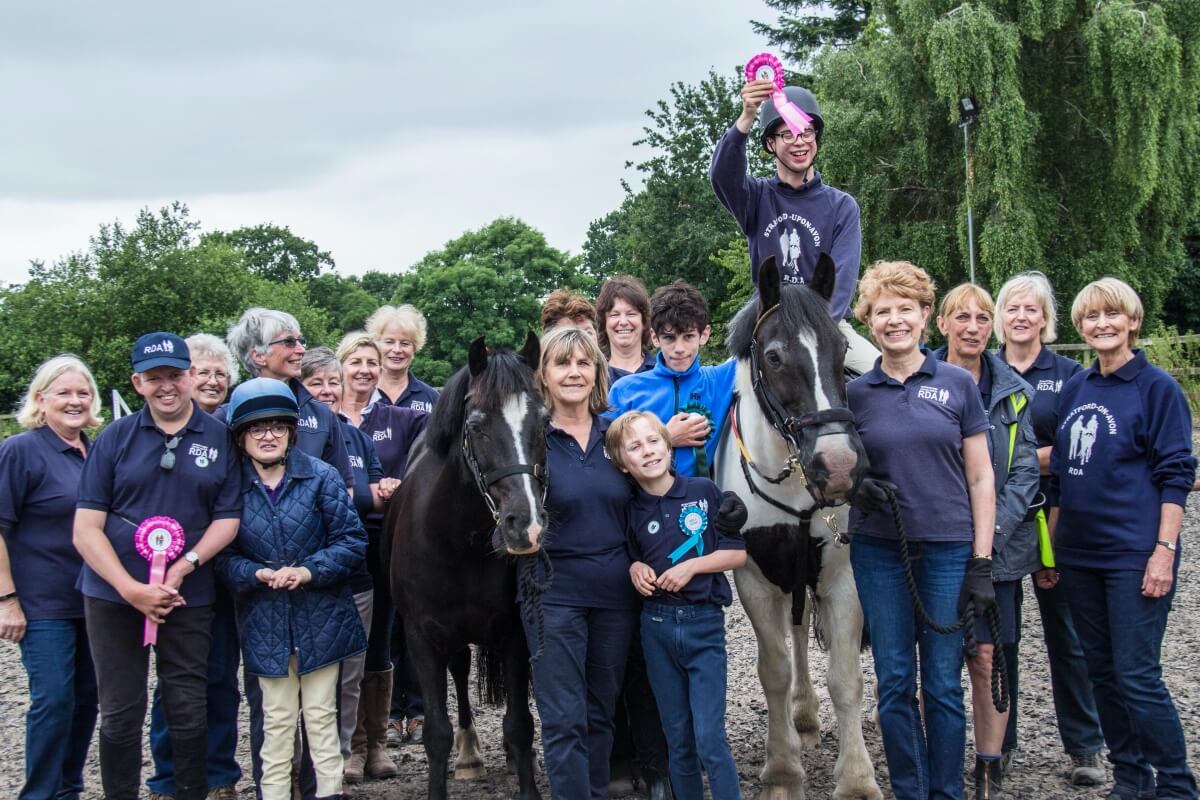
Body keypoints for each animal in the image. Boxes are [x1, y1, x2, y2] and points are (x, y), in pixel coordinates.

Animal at [388, 335, 549, 800]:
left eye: (544, 422)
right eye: (476, 425)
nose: (525, 524)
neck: (458, 541)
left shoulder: (514, 634)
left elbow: (519, 724)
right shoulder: (421, 638)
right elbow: (436, 733)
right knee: (459, 673)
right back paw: (469, 755)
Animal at [710, 256, 883, 800]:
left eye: (841, 349)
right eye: (774, 356)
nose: (839, 465)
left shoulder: (842, 575)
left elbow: (846, 678)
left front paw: (857, 779)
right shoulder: (756, 578)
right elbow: (775, 672)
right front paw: (783, 770)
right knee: (799, 634)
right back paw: (802, 719)